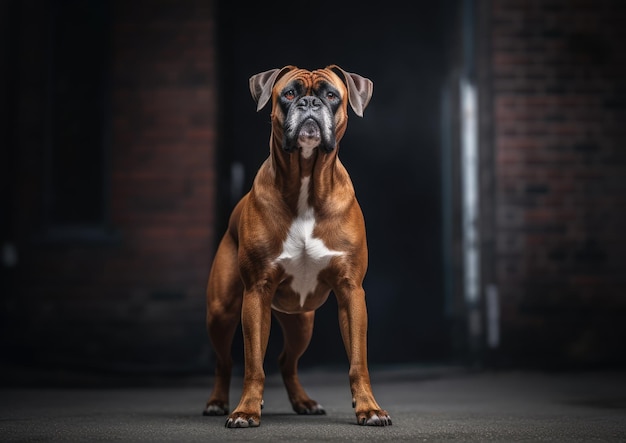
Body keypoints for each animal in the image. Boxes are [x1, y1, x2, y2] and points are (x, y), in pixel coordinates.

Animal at [202, 64, 390, 428]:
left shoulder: (351, 293)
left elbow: (357, 363)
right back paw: (218, 402)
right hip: (222, 312)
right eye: (288, 94)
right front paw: (246, 410)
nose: (309, 103)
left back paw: (303, 402)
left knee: (286, 361)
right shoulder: (256, 294)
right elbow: (253, 365)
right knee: (225, 362)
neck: (306, 183)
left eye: (330, 95)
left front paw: (369, 408)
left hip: (301, 322)